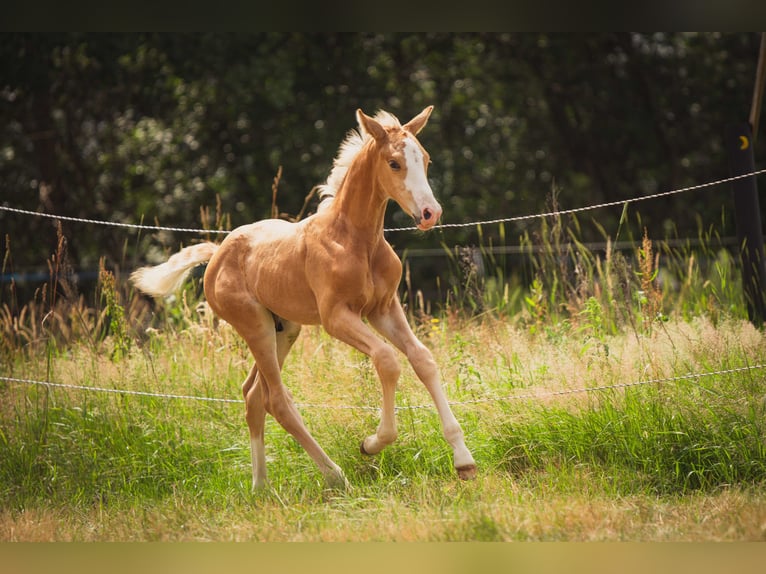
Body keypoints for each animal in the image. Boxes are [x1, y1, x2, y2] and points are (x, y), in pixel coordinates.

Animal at [131, 106, 477, 489]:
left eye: (426, 160)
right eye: (394, 163)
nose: (431, 214)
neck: (356, 239)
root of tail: (217, 252)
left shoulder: (384, 308)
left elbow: (423, 359)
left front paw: (464, 460)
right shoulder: (336, 317)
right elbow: (387, 359)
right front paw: (373, 443)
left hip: (285, 329)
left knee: (254, 395)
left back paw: (261, 488)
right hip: (255, 327)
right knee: (276, 400)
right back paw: (335, 476)